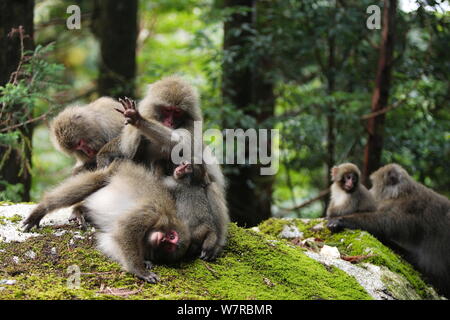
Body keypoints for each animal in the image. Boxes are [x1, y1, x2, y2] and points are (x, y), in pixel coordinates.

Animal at [22, 160, 190, 282]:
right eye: (171, 237)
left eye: (168, 246)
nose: (162, 239)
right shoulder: (151, 211)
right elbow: (125, 229)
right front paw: (139, 270)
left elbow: (111, 242)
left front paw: (145, 262)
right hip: (112, 172)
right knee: (91, 183)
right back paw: (43, 209)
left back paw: (80, 210)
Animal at [326, 164, 450, 298]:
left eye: (373, 184)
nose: (369, 191)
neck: (401, 192)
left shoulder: (404, 208)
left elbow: (383, 223)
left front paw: (341, 220)